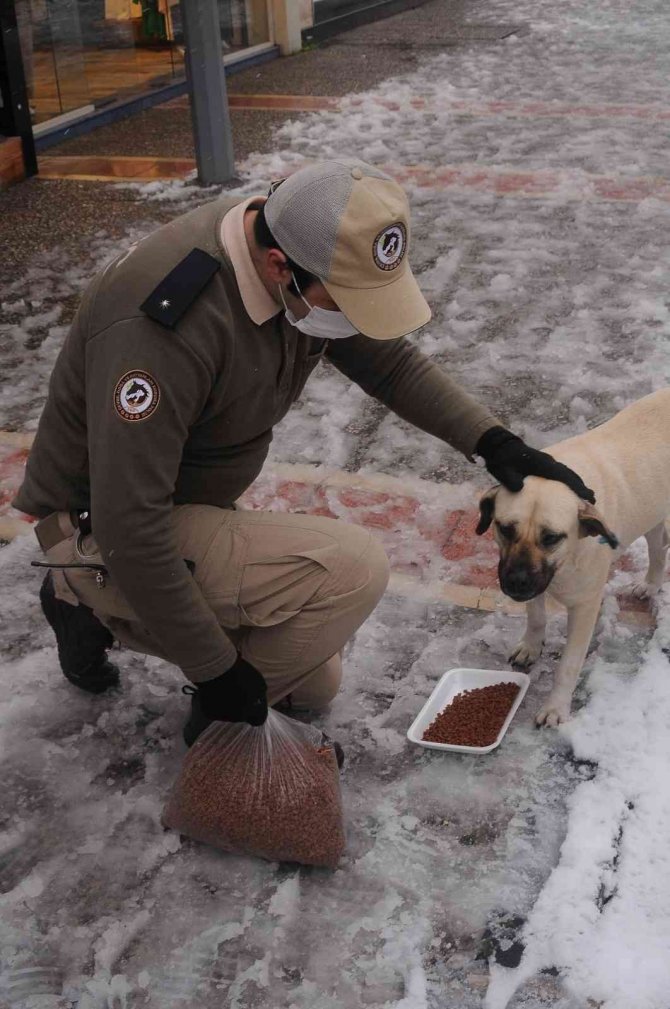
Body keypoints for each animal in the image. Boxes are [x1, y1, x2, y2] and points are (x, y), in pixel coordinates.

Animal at [476, 387, 670, 726]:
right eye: (505, 528)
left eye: (551, 538)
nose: (516, 583)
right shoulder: (536, 585)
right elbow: (536, 616)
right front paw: (531, 645)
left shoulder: (584, 606)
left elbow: (568, 664)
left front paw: (556, 707)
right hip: (652, 510)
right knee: (658, 547)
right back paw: (650, 584)